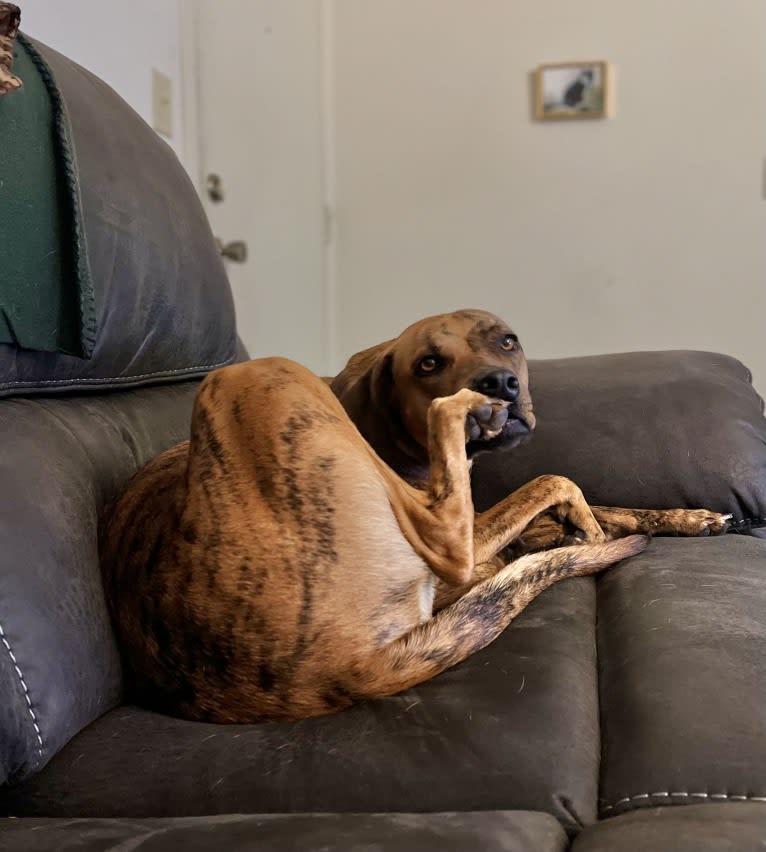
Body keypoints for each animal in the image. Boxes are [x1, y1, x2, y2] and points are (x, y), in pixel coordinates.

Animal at [102, 310, 732, 724]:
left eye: (508, 341)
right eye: (428, 362)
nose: (499, 385)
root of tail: (341, 671)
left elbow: (597, 505)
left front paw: (688, 517)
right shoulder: (473, 531)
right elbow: (556, 488)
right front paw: (582, 529)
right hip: (261, 376)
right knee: (460, 537)